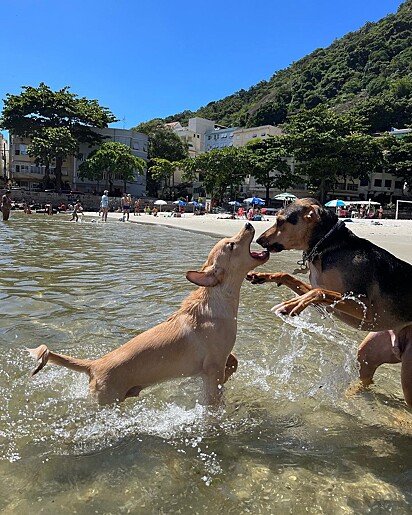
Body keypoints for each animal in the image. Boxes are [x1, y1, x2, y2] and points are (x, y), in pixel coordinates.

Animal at [28, 225, 268, 408]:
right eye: (231, 245)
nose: (248, 224)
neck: (218, 297)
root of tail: (94, 365)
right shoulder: (213, 367)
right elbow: (214, 395)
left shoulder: (220, 359)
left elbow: (234, 362)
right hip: (108, 400)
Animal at [246, 198, 412, 408]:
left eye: (280, 221)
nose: (259, 240)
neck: (328, 246)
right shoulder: (324, 299)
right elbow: (291, 278)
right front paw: (263, 276)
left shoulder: (366, 307)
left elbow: (318, 292)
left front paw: (294, 304)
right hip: (374, 349)